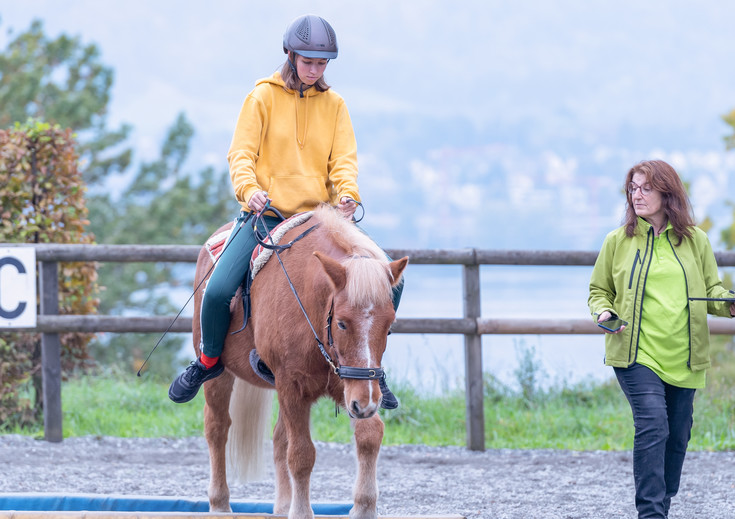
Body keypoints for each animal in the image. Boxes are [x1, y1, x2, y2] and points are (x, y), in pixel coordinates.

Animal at [191, 205, 408, 519]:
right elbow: (301, 454)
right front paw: (303, 512)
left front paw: (364, 507)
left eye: (389, 326)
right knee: (217, 428)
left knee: (279, 438)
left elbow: (369, 434)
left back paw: (282, 506)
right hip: (220, 373)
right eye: (342, 323)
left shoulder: (348, 384)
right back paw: (219, 503)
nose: (366, 404)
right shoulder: (292, 385)